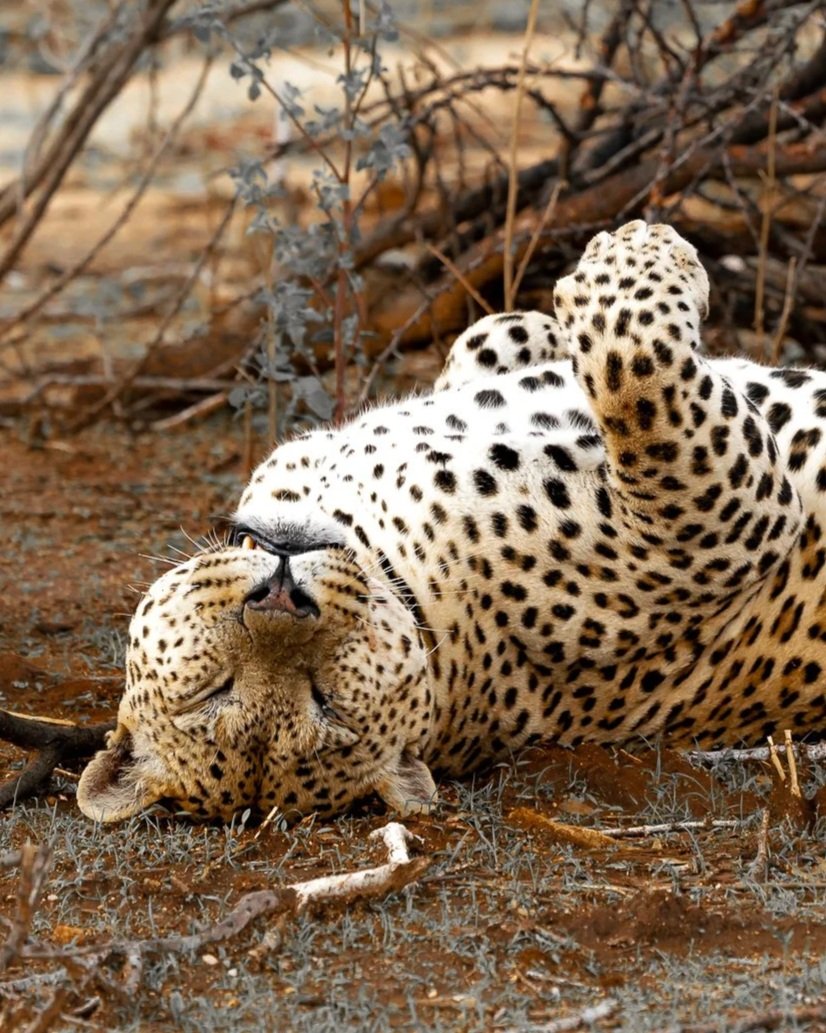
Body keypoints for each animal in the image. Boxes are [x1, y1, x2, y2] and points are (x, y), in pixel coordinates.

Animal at [78, 221, 826, 824]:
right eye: (324, 703)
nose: (281, 595)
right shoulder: (725, 518)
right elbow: (637, 375)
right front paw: (638, 254)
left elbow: (491, 336)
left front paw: (541, 327)